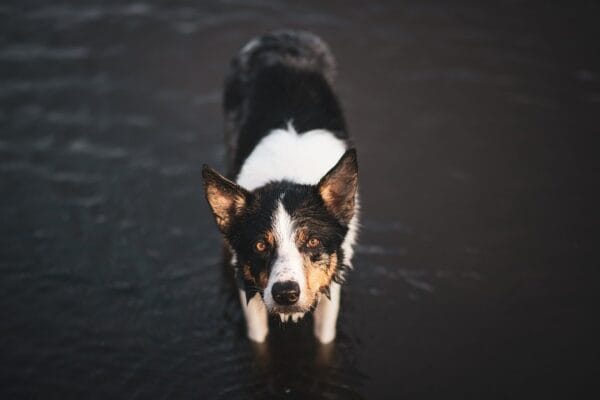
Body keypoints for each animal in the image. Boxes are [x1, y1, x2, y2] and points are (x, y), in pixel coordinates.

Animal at [202, 31, 360, 344]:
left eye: (313, 242)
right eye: (260, 245)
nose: (285, 294)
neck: (288, 175)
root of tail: (279, 35)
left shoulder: (331, 283)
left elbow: (325, 337)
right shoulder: (250, 289)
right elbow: (258, 337)